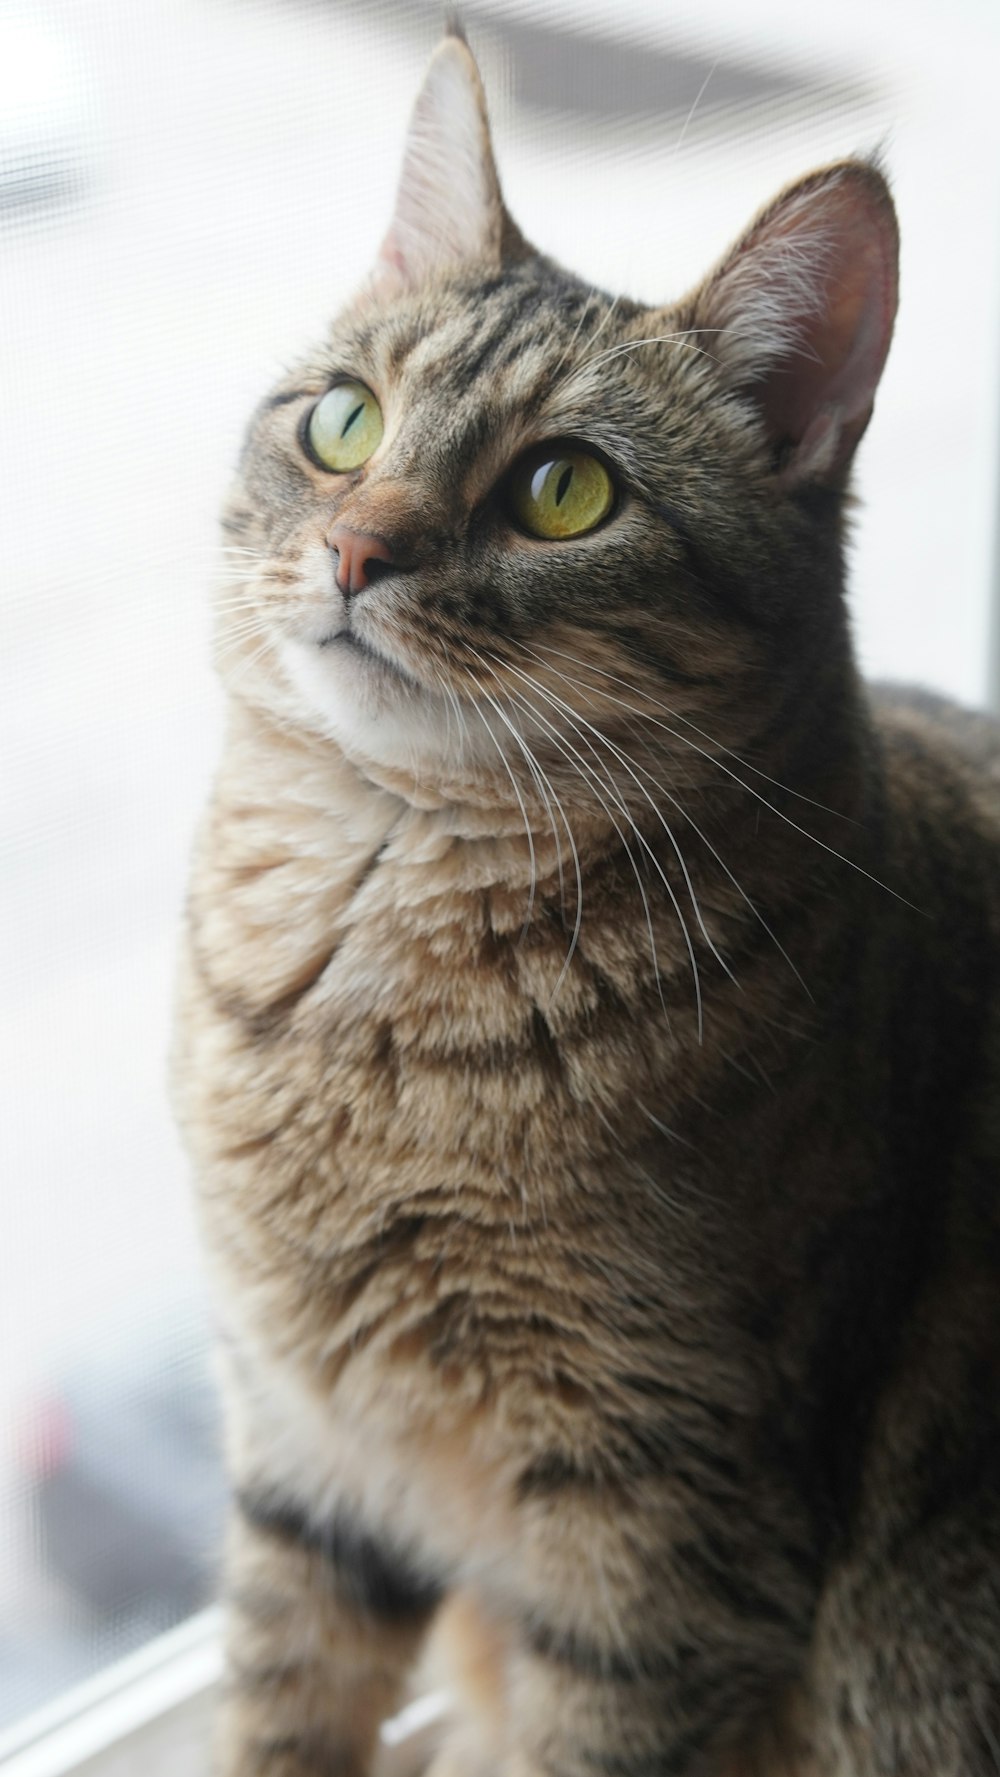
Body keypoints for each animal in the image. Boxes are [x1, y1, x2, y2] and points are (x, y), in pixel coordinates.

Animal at [174, 27, 1000, 1777]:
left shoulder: (662, 1550)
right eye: (342, 424)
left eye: (565, 491)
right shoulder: (305, 1456)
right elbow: (280, 1709)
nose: (353, 550)